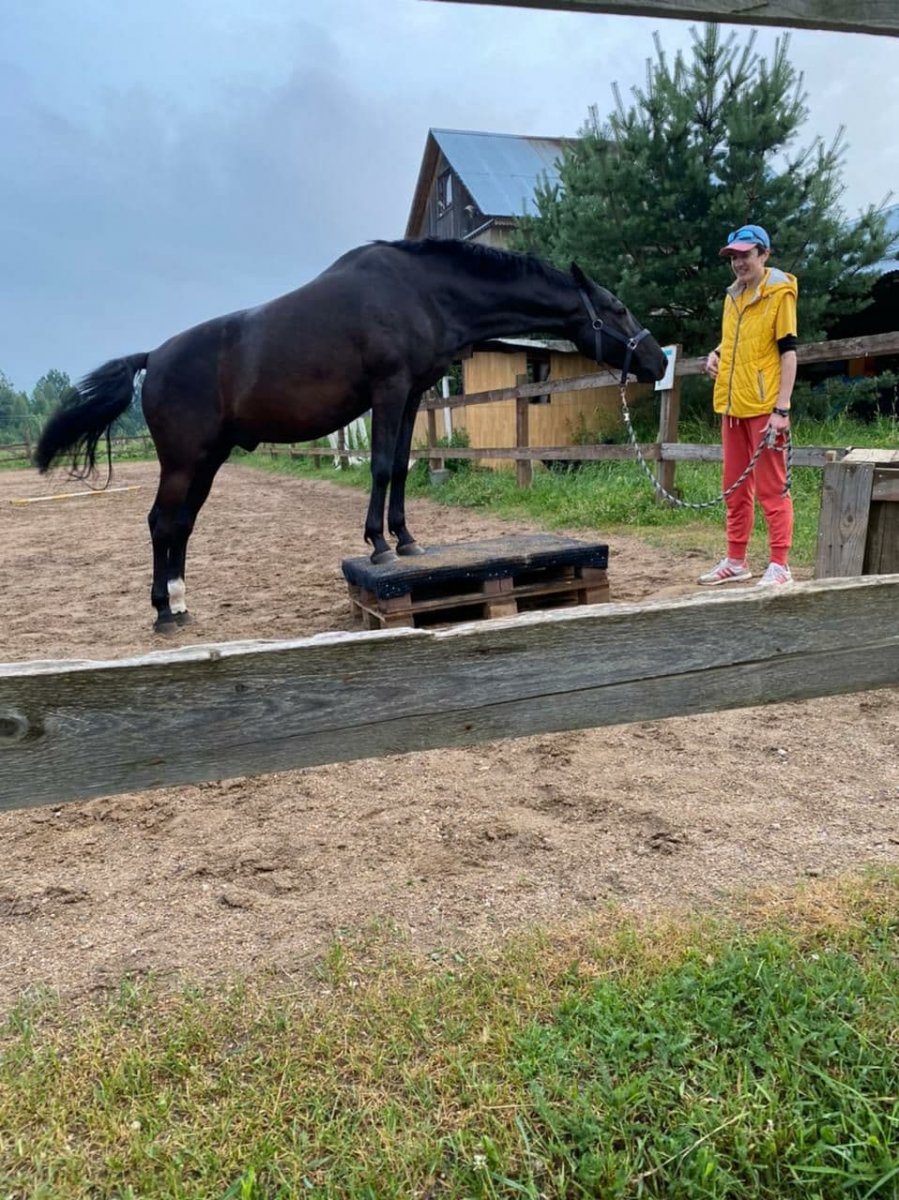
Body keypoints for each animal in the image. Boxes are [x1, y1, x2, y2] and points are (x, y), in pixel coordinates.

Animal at [35, 234, 667, 628]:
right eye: (615, 308)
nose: (658, 360)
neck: (420, 289)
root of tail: (153, 357)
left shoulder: (412, 394)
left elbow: (405, 466)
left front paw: (406, 539)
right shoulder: (388, 390)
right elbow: (383, 465)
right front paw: (380, 546)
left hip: (209, 460)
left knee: (182, 525)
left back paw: (181, 603)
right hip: (184, 461)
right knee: (161, 522)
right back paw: (164, 613)